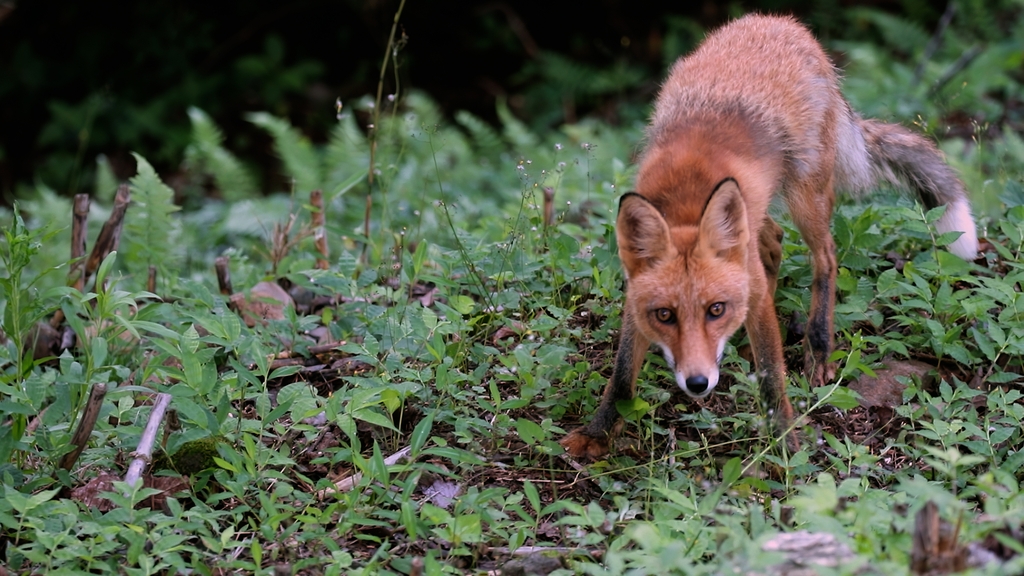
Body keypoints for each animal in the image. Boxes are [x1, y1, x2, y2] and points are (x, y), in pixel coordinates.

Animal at [565, 13, 978, 455]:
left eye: (716, 309)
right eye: (665, 315)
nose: (698, 383)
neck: (687, 201)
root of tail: (784, 23)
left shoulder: (754, 290)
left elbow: (770, 373)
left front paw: (784, 441)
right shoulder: (638, 295)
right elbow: (623, 371)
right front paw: (598, 432)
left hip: (805, 197)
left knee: (826, 256)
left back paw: (818, 346)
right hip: (756, 212)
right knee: (775, 242)